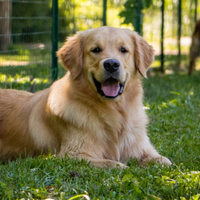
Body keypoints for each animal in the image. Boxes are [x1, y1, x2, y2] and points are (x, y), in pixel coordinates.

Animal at [0, 26, 172, 167]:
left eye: (123, 50)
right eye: (96, 49)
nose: (111, 64)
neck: (113, 111)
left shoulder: (141, 147)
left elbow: (165, 161)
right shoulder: (72, 155)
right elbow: (114, 164)